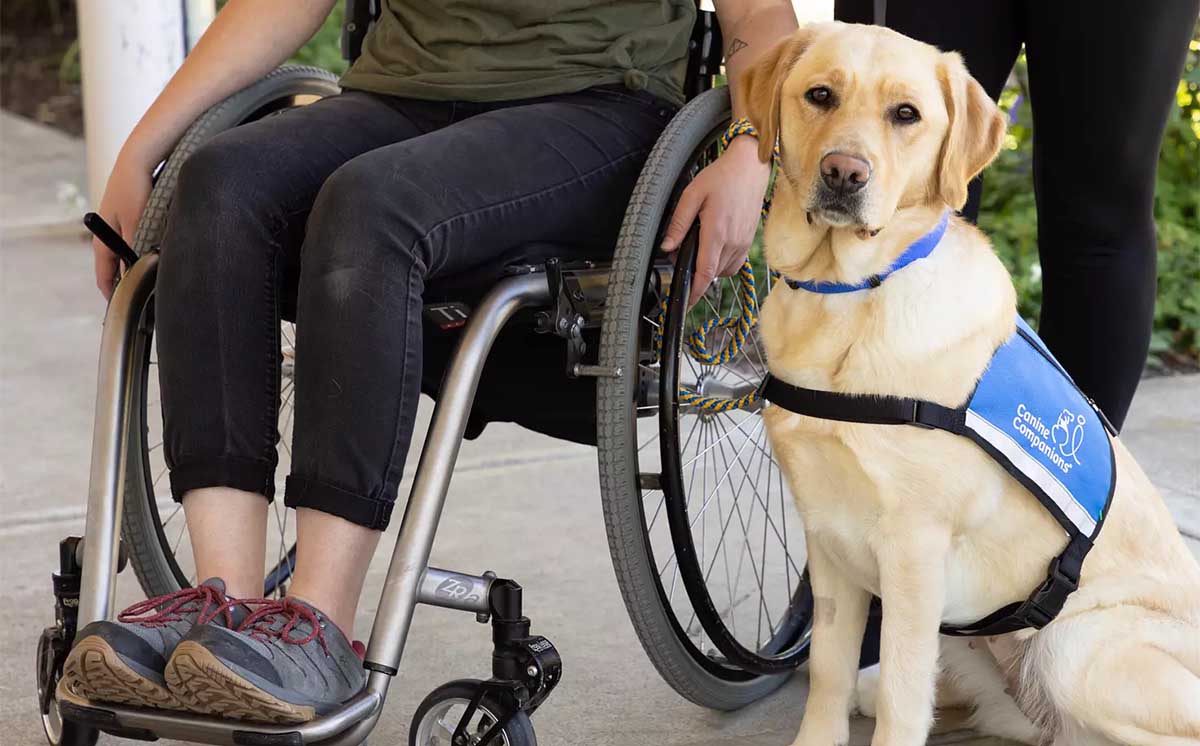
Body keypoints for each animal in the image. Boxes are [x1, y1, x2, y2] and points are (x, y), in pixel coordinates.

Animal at [739, 20, 1200, 746]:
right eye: (820, 95)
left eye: (906, 114)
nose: (844, 172)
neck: (850, 292)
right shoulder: (829, 536)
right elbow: (828, 671)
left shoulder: (913, 550)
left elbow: (902, 698)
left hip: (1073, 647)